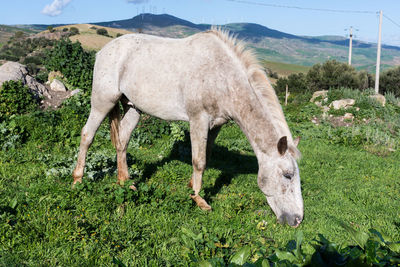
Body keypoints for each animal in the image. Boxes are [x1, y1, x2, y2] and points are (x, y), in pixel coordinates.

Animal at [72, 27, 304, 228]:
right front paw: (199, 200)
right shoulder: (198, 119)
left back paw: (125, 182)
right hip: (103, 102)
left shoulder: (216, 125)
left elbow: (206, 157)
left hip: (133, 108)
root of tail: (104, 51)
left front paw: (192, 188)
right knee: (87, 135)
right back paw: (77, 180)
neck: (222, 76)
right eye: (288, 175)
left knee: (122, 142)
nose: (297, 219)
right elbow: (198, 161)